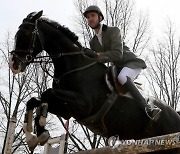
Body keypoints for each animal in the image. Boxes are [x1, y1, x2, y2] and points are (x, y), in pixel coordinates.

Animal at [8, 10, 180, 153]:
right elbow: (34, 100)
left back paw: (152, 111)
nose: (13, 65)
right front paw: (34, 135)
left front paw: (40, 130)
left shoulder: (83, 104)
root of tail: (176, 114)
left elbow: (46, 93)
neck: (74, 65)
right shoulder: (67, 110)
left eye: (25, 34)